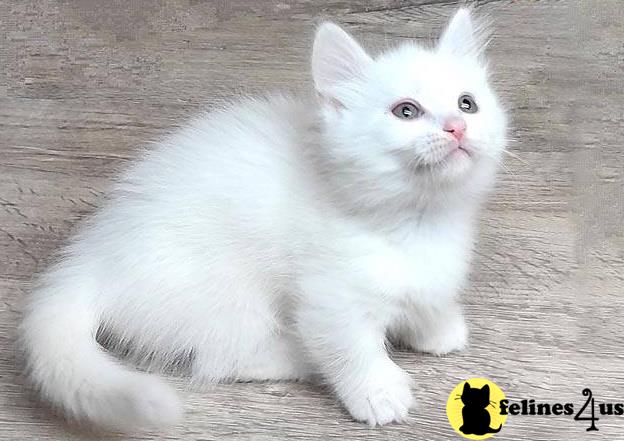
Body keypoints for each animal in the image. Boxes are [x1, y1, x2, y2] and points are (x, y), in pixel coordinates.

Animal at [19, 7, 508, 430]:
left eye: (467, 103)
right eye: (406, 111)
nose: (456, 127)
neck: (418, 219)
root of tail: (93, 255)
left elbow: (426, 295)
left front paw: (437, 328)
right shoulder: (329, 298)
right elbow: (350, 347)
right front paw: (377, 392)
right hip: (225, 294)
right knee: (223, 359)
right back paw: (297, 355)